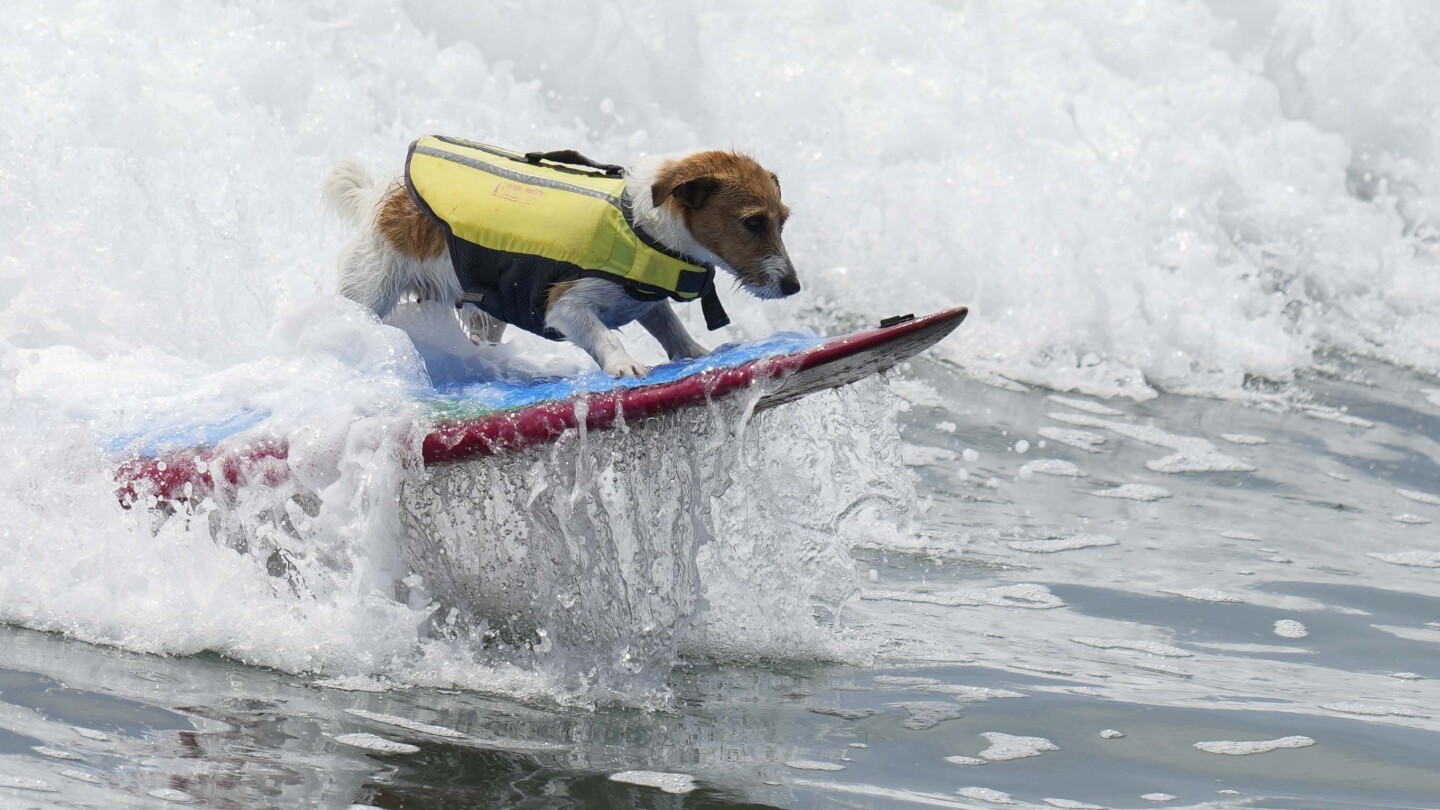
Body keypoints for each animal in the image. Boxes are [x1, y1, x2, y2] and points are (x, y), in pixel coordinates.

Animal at [322, 139, 806, 374]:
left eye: (783, 220)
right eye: (753, 222)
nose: (793, 286)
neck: (640, 226)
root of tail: (381, 199)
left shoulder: (645, 300)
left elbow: (668, 325)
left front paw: (693, 351)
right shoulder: (566, 306)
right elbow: (605, 335)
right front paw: (623, 364)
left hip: (483, 315)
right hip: (370, 290)